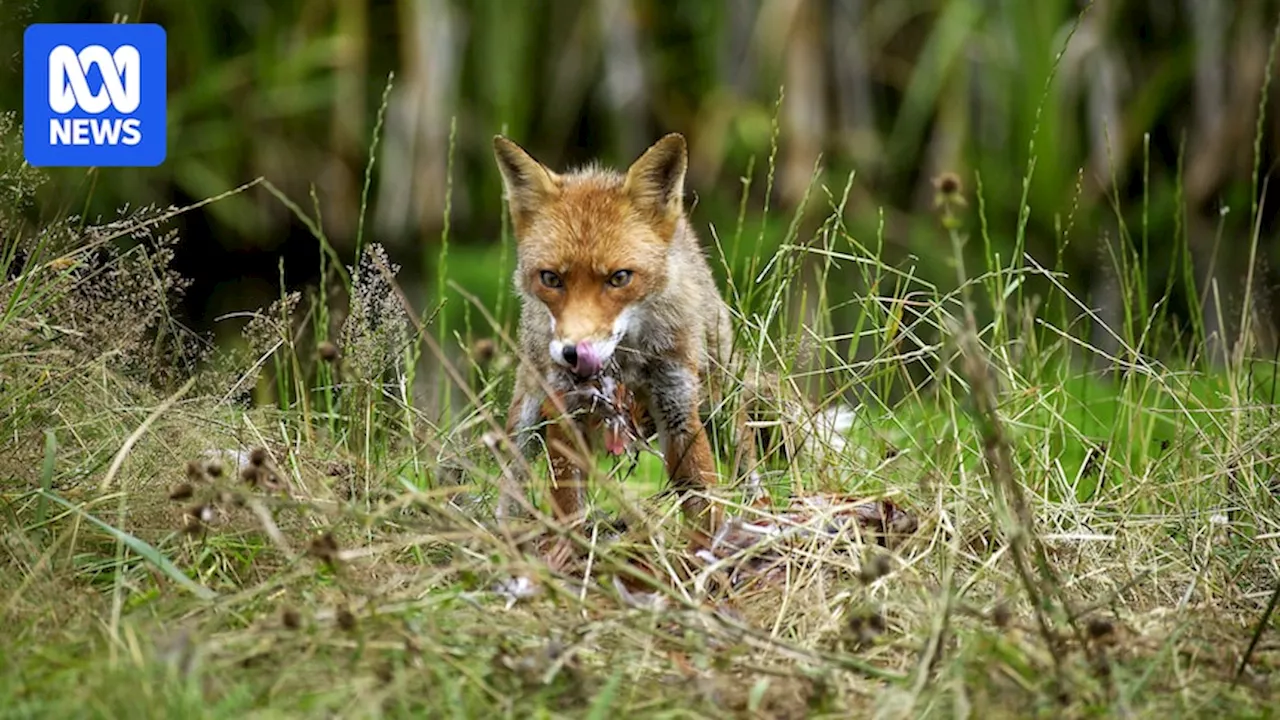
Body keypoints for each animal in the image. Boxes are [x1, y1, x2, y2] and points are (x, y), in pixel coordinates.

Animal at [488, 133, 752, 538]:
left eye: (619, 278)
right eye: (551, 278)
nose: (573, 353)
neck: (624, 362)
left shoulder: (677, 403)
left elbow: (701, 501)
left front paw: (711, 550)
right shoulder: (565, 412)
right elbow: (568, 508)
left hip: (721, 398)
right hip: (528, 413)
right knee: (512, 482)